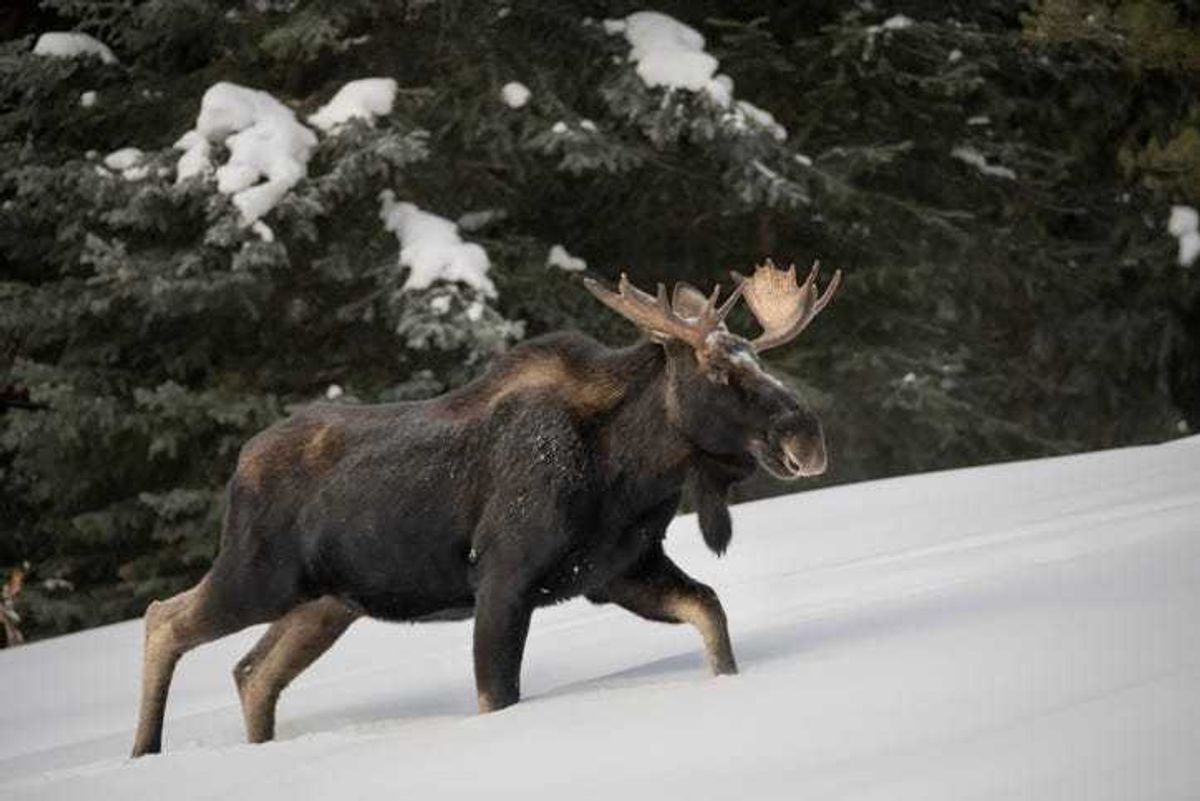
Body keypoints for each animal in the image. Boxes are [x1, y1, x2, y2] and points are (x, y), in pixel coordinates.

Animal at [131, 260, 841, 756]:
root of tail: (241, 464)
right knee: (164, 617)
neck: (632, 470)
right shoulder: (503, 576)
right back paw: (144, 752)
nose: (808, 436)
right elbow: (496, 696)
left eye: (760, 363)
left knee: (253, 672)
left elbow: (712, 616)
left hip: (327, 603)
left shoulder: (618, 571)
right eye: (720, 374)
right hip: (258, 576)